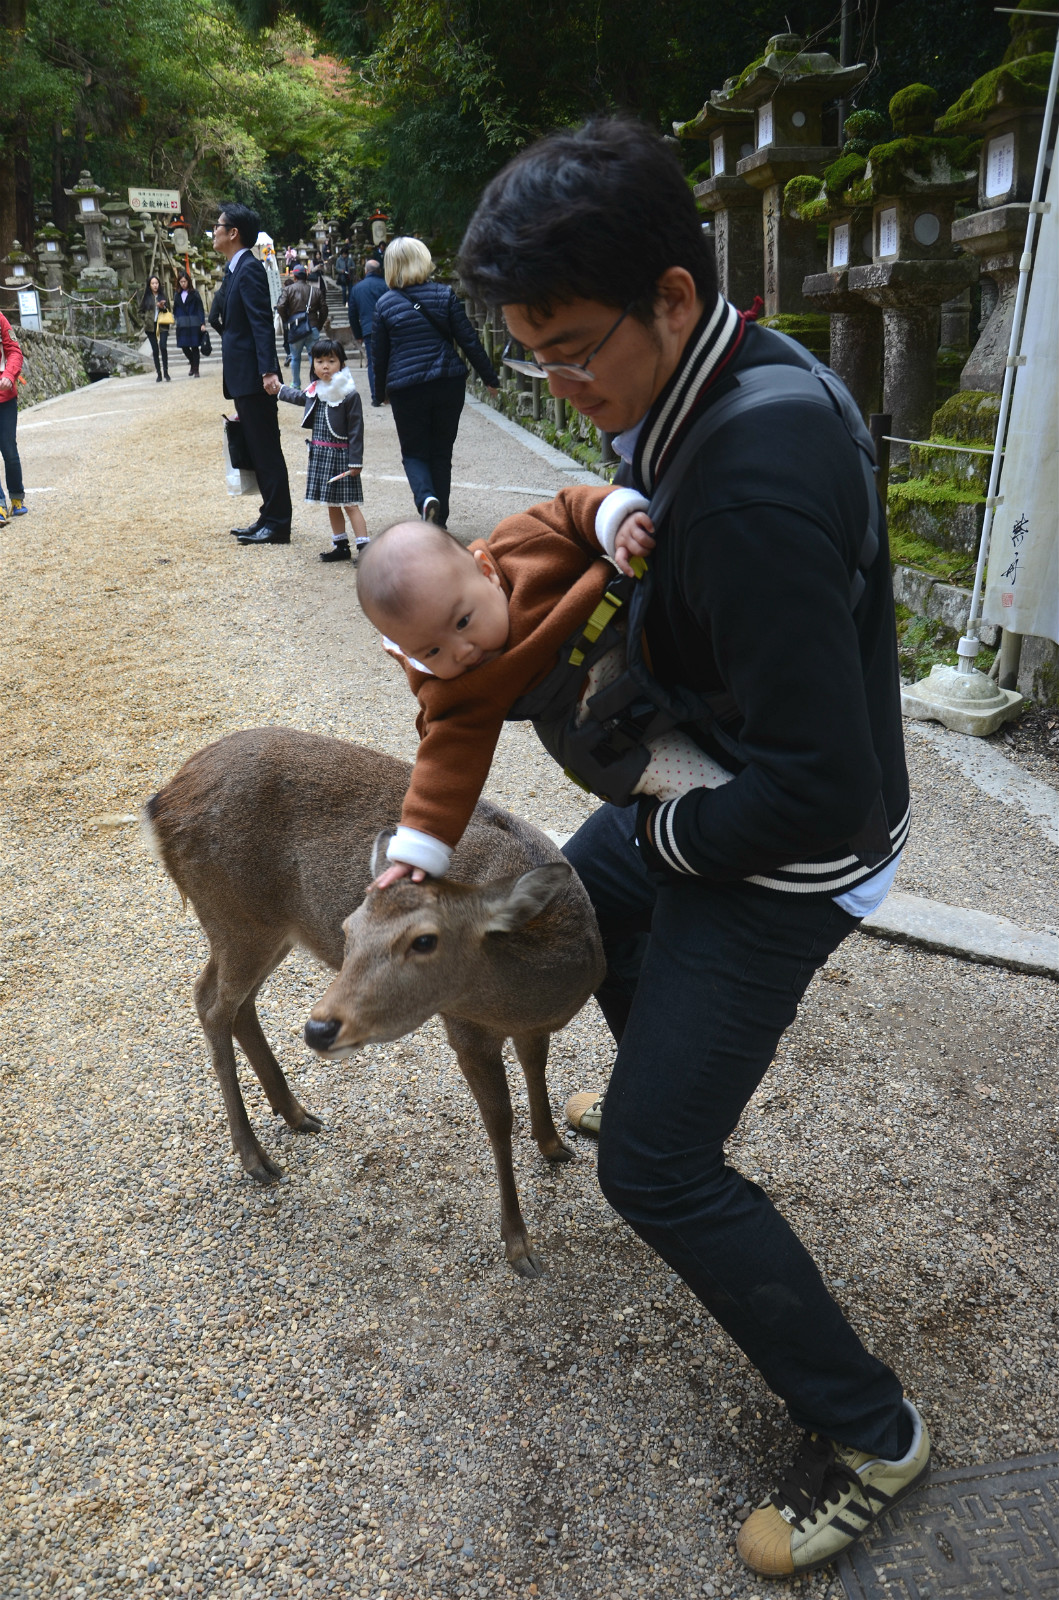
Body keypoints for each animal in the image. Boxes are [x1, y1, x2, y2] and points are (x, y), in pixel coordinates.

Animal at [140, 726, 604, 1273]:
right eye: (349, 929)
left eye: (424, 940)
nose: (319, 1029)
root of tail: (160, 803)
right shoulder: (464, 1027)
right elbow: (498, 1119)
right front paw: (519, 1246)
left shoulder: (533, 1027)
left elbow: (537, 1068)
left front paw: (554, 1146)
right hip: (235, 916)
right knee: (210, 1001)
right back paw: (255, 1158)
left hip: (270, 929)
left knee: (236, 1003)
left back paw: (295, 1113)